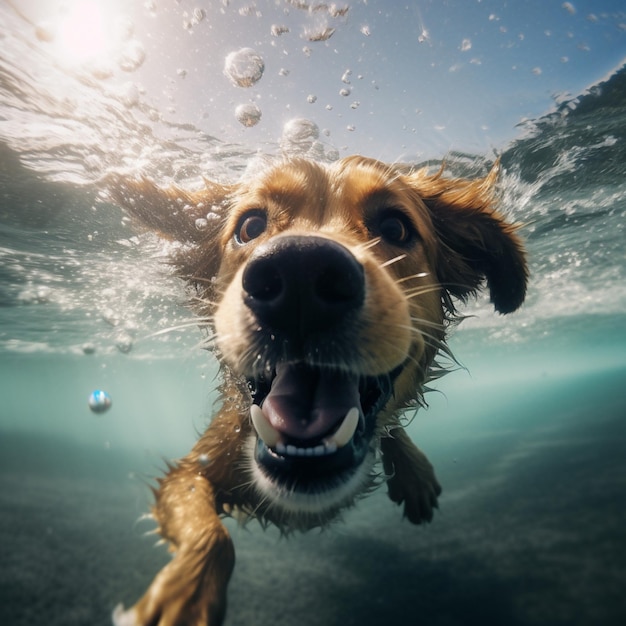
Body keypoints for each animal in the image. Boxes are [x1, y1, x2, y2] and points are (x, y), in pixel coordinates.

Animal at [108, 156, 528, 624]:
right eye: (250, 226)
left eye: (396, 227)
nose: (299, 273)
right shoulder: (194, 468)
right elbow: (212, 535)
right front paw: (183, 596)